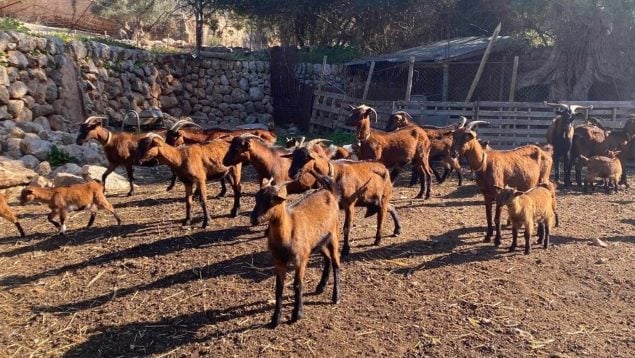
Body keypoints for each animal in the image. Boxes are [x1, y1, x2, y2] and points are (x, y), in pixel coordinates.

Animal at [252, 175, 342, 328]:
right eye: (257, 197)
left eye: (273, 199)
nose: (254, 219)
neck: (288, 231)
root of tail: (329, 192)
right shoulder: (278, 260)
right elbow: (279, 287)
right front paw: (275, 319)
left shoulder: (300, 259)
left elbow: (297, 284)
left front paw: (297, 314)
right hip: (317, 242)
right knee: (328, 259)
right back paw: (321, 286)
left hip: (333, 235)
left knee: (336, 263)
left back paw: (336, 296)